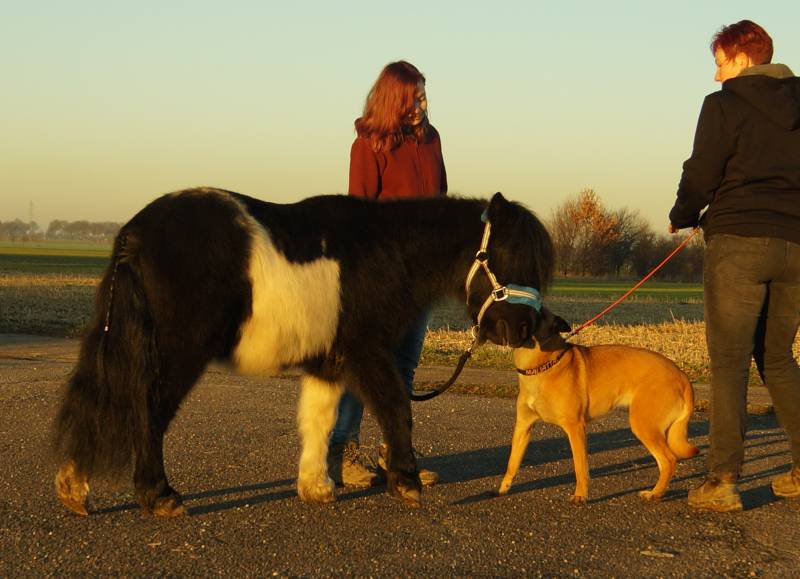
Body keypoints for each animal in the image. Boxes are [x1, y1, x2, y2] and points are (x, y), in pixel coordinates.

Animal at [52, 187, 554, 516]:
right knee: (149, 410)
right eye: (507, 256)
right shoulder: (368, 349)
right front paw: (407, 482)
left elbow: (319, 417)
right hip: (180, 352)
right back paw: (159, 495)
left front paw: (316, 486)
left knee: (102, 402)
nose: (524, 329)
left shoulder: (328, 361)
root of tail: (135, 233)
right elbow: (396, 409)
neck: (386, 252)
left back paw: (75, 487)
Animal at [498, 307, 698, 504]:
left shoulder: (575, 428)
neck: (543, 365)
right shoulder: (523, 426)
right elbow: (512, 462)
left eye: (540, 313)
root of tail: (682, 376)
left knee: (668, 460)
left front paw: (580, 495)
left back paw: (655, 494)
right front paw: (503, 488)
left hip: (644, 426)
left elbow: (580, 467)